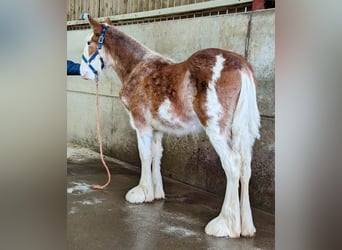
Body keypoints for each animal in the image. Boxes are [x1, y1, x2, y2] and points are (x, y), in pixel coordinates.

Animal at [80, 14, 260, 237]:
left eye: (89, 42)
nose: (82, 72)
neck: (138, 68)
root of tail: (240, 64)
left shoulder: (141, 125)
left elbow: (145, 155)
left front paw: (141, 193)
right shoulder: (157, 129)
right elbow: (157, 155)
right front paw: (156, 193)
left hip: (217, 130)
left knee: (232, 164)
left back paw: (224, 225)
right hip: (242, 132)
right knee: (245, 167)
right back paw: (245, 227)